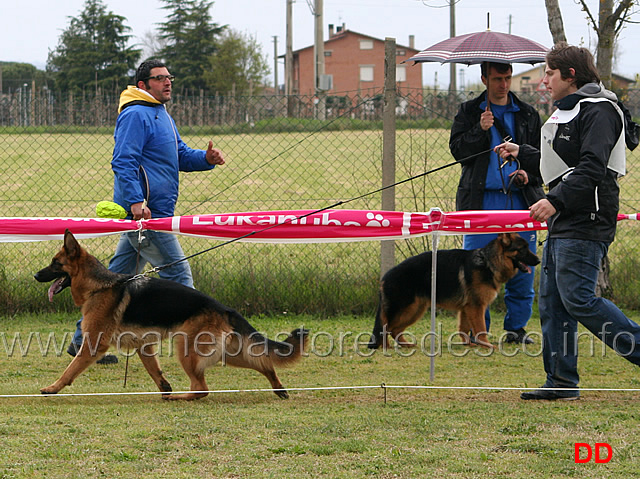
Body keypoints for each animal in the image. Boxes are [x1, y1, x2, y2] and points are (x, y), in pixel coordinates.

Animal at [35, 232, 310, 402]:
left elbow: (70, 370)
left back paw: (180, 397)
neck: (100, 286)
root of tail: (224, 308)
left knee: (202, 389)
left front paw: (53, 388)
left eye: (55, 263)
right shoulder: (143, 346)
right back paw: (279, 388)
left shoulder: (94, 345)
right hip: (226, 352)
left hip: (187, 350)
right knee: (263, 363)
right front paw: (164, 388)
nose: (36, 276)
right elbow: (155, 371)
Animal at [370, 234, 540, 350]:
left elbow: (464, 329)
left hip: (415, 310)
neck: (488, 262)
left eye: (527, 247)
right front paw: (487, 345)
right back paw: (386, 347)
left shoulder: (466, 309)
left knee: (394, 329)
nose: (539, 261)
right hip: (406, 308)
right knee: (385, 327)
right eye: (522, 249)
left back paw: (405, 345)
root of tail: (385, 277)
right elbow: (481, 328)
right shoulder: (476, 307)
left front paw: (469, 344)